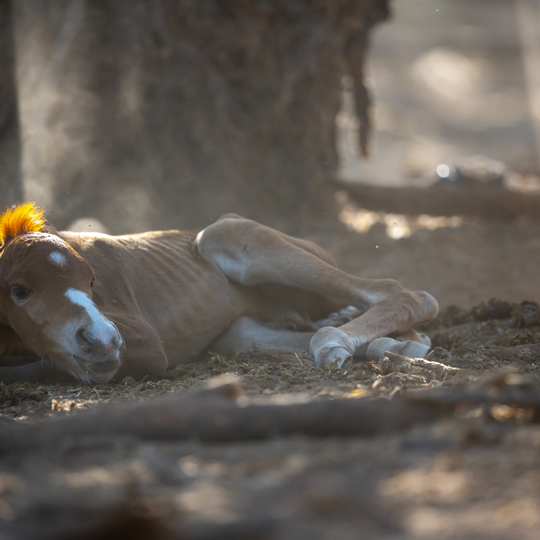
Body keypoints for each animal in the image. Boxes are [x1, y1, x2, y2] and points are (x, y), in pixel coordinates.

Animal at [0, 202, 438, 384]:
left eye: (93, 280)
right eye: (18, 290)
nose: (102, 341)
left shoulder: (145, 345)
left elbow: (45, 366)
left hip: (224, 234)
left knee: (406, 294)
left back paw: (339, 342)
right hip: (238, 333)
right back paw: (396, 346)